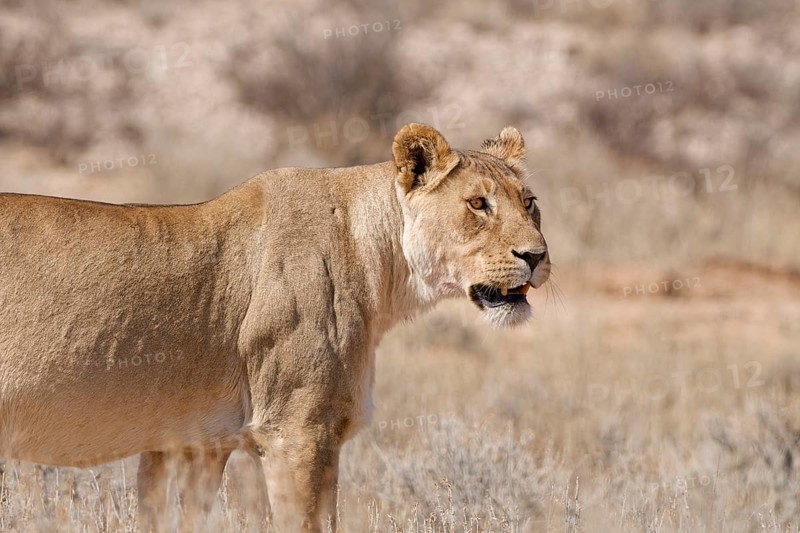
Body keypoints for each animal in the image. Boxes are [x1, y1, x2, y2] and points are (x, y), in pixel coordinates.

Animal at [0, 123, 550, 531]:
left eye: (529, 203)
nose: (537, 256)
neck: (380, 260)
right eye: (478, 204)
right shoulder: (296, 431)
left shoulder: (191, 443)